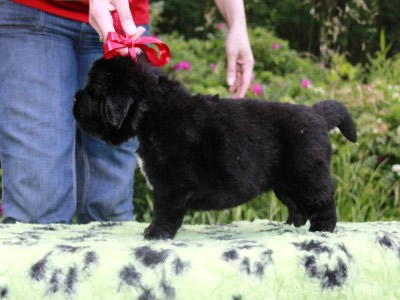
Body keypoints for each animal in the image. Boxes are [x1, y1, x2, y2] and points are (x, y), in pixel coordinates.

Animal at [73, 55, 358, 239]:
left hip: (308, 175)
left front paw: (156, 233)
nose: (75, 98)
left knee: (323, 203)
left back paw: (321, 231)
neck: (153, 112)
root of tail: (317, 114)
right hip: (285, 183)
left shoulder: (172, 184)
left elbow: (163, 211)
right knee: (297, 206)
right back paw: (288, 225)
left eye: (94, 92)